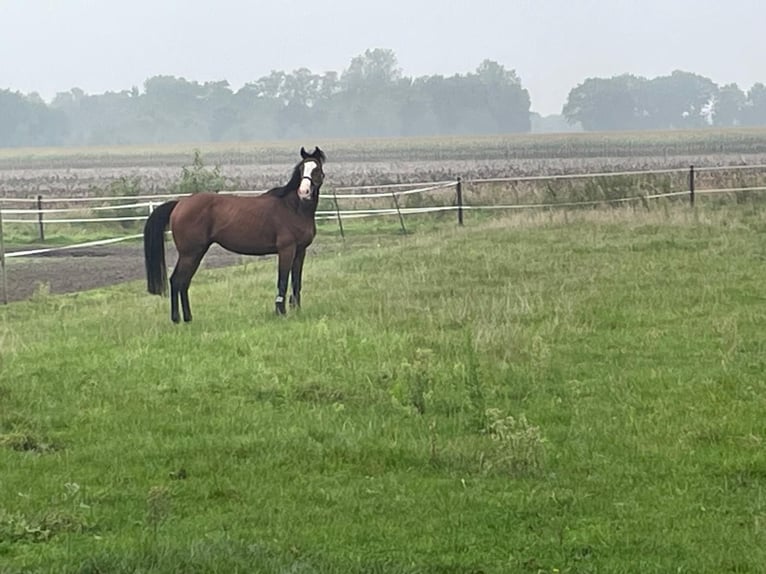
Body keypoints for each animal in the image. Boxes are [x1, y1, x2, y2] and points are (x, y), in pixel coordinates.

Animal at [144, 146, 328, 322]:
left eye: (316, 169)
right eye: (302, 169)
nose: (303, 192)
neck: (293, 208)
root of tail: (180, 203)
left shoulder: (300, 251)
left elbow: (296, 281)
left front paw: (296, 310)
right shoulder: (286, 250)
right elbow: (282, 280)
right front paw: (280, 312)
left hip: (196, 253)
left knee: (184, 282)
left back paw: (188, 318)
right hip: (189, 253)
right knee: (176, 280)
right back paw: (176, 319)